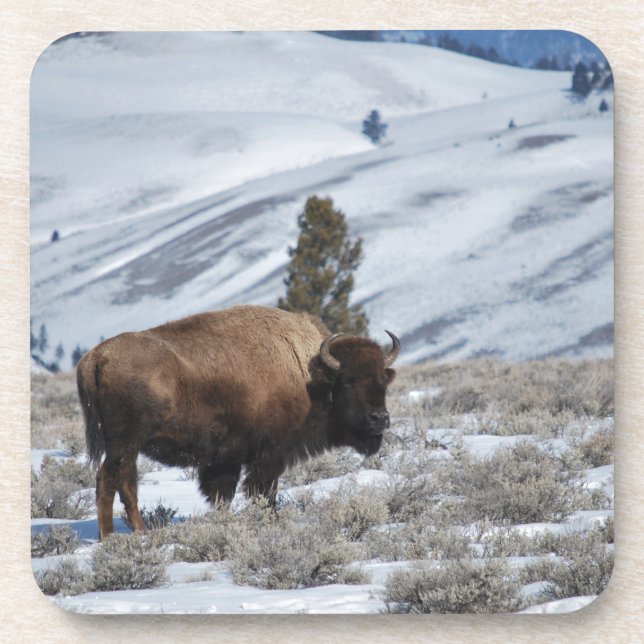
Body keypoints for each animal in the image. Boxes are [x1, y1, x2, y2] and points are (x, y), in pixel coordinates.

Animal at [77, 304, 400, 538]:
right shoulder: (270, 455)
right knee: (109, 479)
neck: (309, 374)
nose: (380, 419)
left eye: (383, 381)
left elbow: (223, 495)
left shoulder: (226, 460)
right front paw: (271, 524)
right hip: (124, 443)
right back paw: (109, 537)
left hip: (128, 447)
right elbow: (264, 493)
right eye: (348, 381)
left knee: (126, 483)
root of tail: (96, 357)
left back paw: (141, 531)